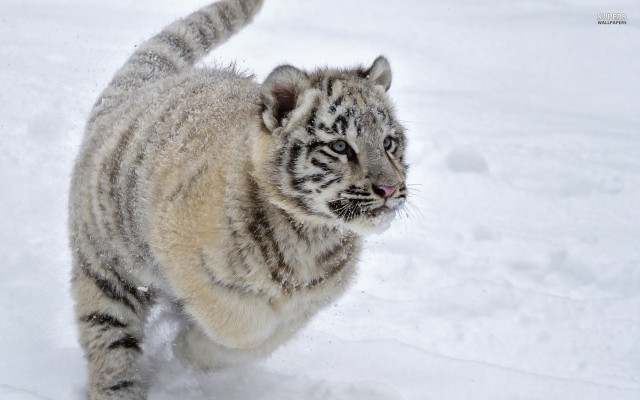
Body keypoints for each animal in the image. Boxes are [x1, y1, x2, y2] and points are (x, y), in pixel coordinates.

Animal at [68, 0, 409, 398]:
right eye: (340, 147)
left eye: (388, 143)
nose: (389, 189)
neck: (309, 235)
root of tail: (143, 88)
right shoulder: (180, 247)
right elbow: (241, 325)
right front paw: (187, 346)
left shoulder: (307, 303)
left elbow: (264, 337)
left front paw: (192, 348)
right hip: (106, 269)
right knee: (111, 342)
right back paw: (118, 388)